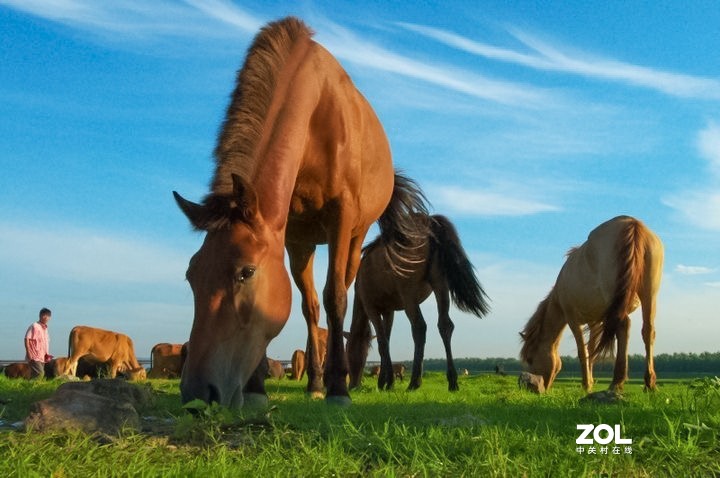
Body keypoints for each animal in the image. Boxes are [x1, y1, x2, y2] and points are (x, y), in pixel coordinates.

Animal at [173, 17, 428, 408]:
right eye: (191, 275)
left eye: (246, 272)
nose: (198, 394)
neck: (315, 117)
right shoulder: (288, 235)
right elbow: (304, 306)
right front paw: (258, 388)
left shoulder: (341, 218)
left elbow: (336, 297)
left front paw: (339, 389)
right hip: (304, 245)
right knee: (311, 305)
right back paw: (314, 381)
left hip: (354, 238)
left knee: (337, 292)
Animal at [344, 216, 490, 392]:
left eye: (348, 352)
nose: (353, 385)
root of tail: (430, 222)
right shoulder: (389, 311)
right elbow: (387, 340)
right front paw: (383, 381)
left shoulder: (372, 307)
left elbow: (382, 343)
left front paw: (388, 382)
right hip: (440, 285)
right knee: (445, 325)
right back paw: (452, 381)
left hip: (409, 295)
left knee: (419, 327)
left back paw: (414, 381)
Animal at [516, 217, 664, 392]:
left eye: (530, 359)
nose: (533, 387)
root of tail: (632, 224)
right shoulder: (595, 322)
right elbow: (592, 350)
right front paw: (591, 382)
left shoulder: (572, 319)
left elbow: (583, 351)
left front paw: (586, 385)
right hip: (650, 294)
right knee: (648, 331)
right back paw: (649, 383)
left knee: (624, 325)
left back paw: (617, 382)